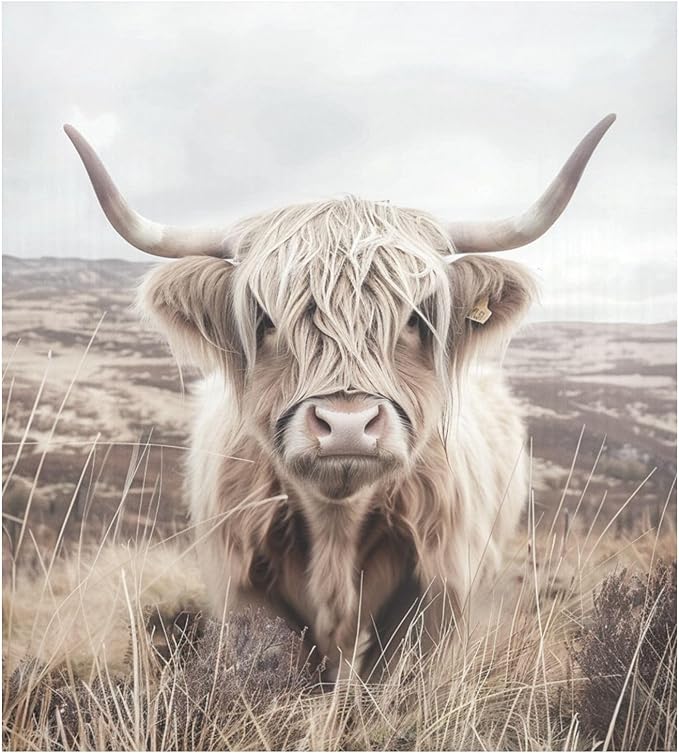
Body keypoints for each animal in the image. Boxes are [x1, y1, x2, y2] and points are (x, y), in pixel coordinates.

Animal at [65, 114, 614, 679]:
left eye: (415, 318)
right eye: (266, 320)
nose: (347, 426)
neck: (335, 522)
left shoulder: (439, 590)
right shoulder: (240, 586)